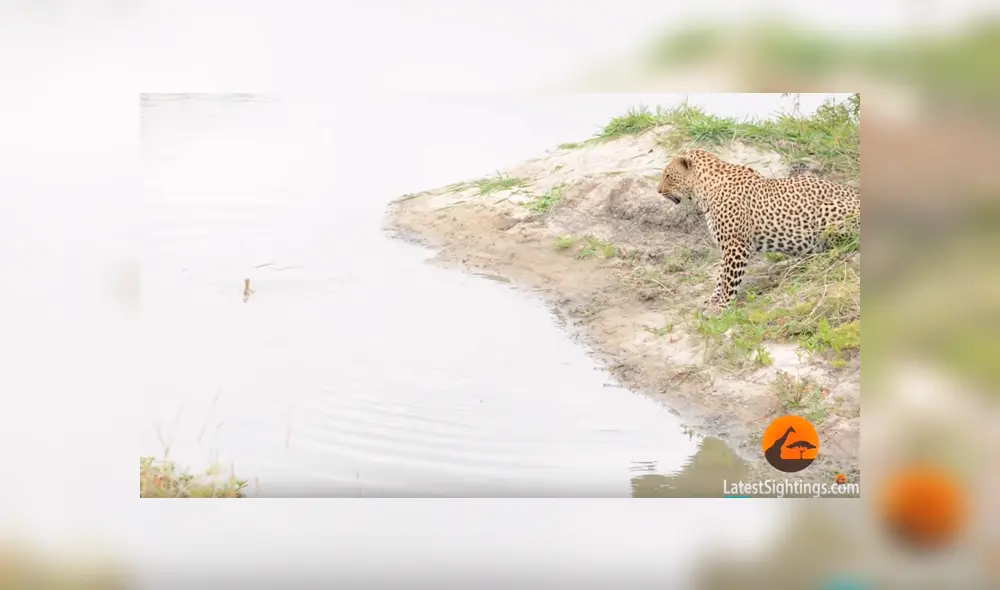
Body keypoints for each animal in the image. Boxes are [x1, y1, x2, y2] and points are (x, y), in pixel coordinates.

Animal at [657, 148, 860, 313]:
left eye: (667, 176)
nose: (658, 190)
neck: (704, 190)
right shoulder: (728, 246)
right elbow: (721, 275)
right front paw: (713, 300)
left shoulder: (736, 245)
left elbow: (729, 279)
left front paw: (722, 306)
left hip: (827, 213)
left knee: (837, 251)